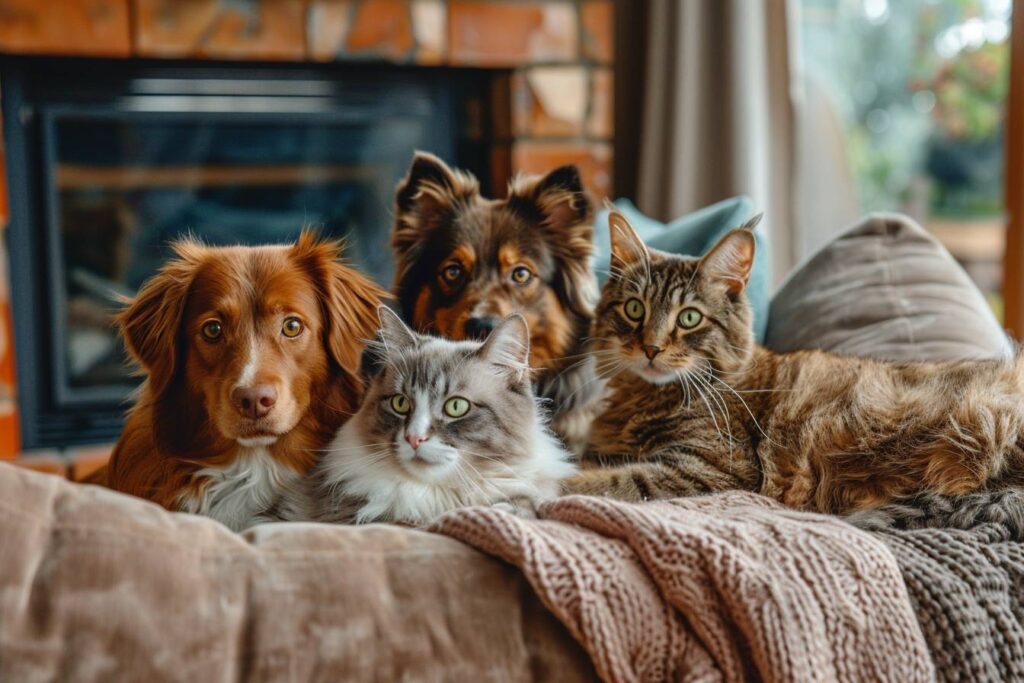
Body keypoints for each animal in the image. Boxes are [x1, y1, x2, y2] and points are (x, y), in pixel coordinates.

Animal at [282, 307, 577, 528]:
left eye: (456, 407)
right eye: (400, 403)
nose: (414, 438)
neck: (439, 497)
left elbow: (525, 507)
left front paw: (508, 511)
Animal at [565, 209, 1024, 532]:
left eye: (689, 318)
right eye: (634, 309)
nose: (651, 349)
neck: (643, 396)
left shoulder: (709, 471)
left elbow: (607, 481)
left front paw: (551, 485)